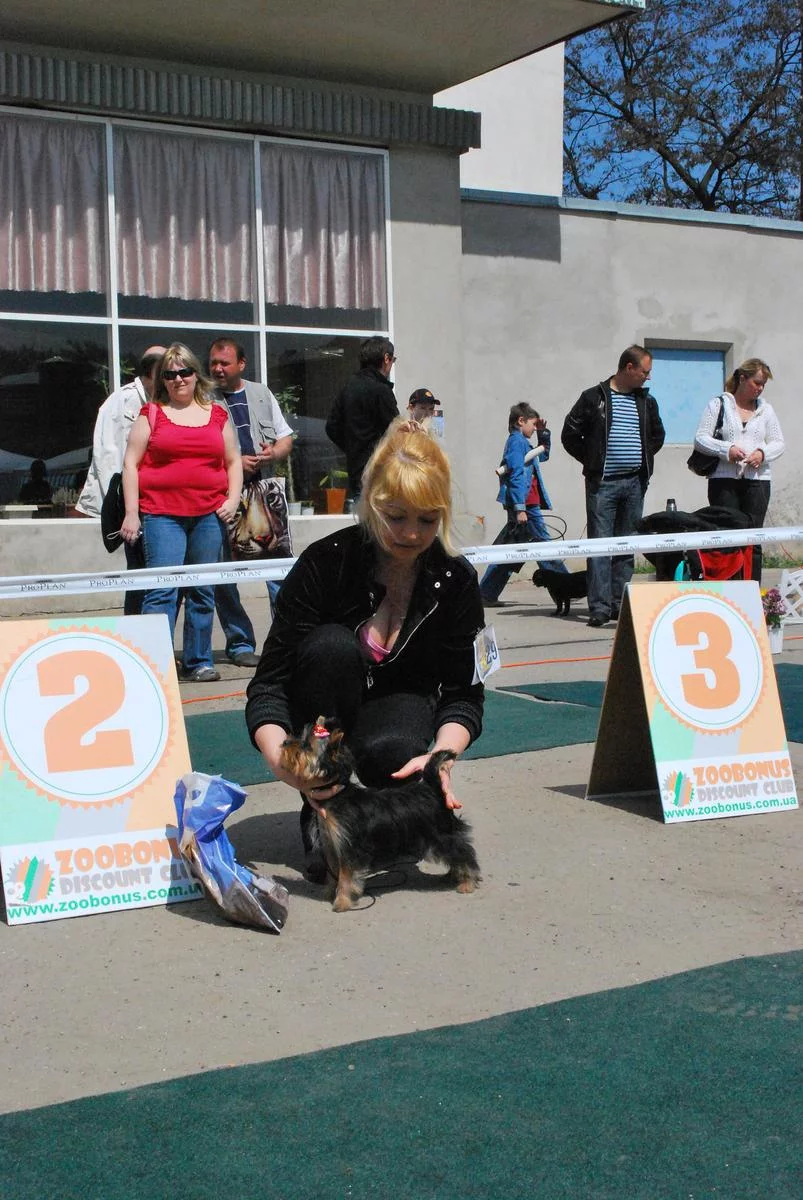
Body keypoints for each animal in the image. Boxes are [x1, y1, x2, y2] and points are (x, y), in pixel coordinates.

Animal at [280, 717, 481, 912]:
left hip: (439, 836)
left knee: (464, 852)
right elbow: (333, 872)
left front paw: (342, 902)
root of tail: (432, 789)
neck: (337, 796)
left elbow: (345, 876)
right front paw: (330, 892)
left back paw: (467, 882)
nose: (285, 742)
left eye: (306, 746)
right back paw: (453, 876)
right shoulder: (331, 844)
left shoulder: (348, 848)